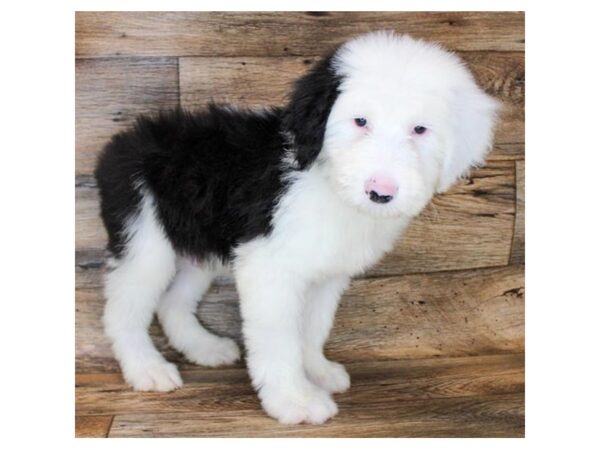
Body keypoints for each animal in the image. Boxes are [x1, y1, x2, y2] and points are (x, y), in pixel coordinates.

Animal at [92, 29, 496, 424]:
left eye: (420, 129)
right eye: (360, 121)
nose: (380, 192)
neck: (327, 182)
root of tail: (122, 141)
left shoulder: (325, 275)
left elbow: (313, 328)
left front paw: (317, 371)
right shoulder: (269, 268)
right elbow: (279, 339)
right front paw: (294, 400)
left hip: (199, 244)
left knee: (172, 303)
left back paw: (205, 348)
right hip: (144, 239)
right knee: (122, 309)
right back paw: (146, 368)